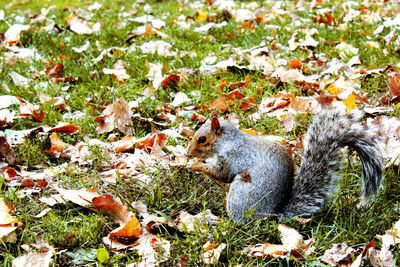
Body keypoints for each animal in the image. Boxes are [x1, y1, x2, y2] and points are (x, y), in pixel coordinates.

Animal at [188, 111, 384, 224]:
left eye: (202, 139)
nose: (189, 153)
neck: (227, 141)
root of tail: (272, 215)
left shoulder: (233, 156)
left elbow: (222, 174)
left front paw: (195, 165)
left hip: (240, 196)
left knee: (240, 224)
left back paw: (220, 223)